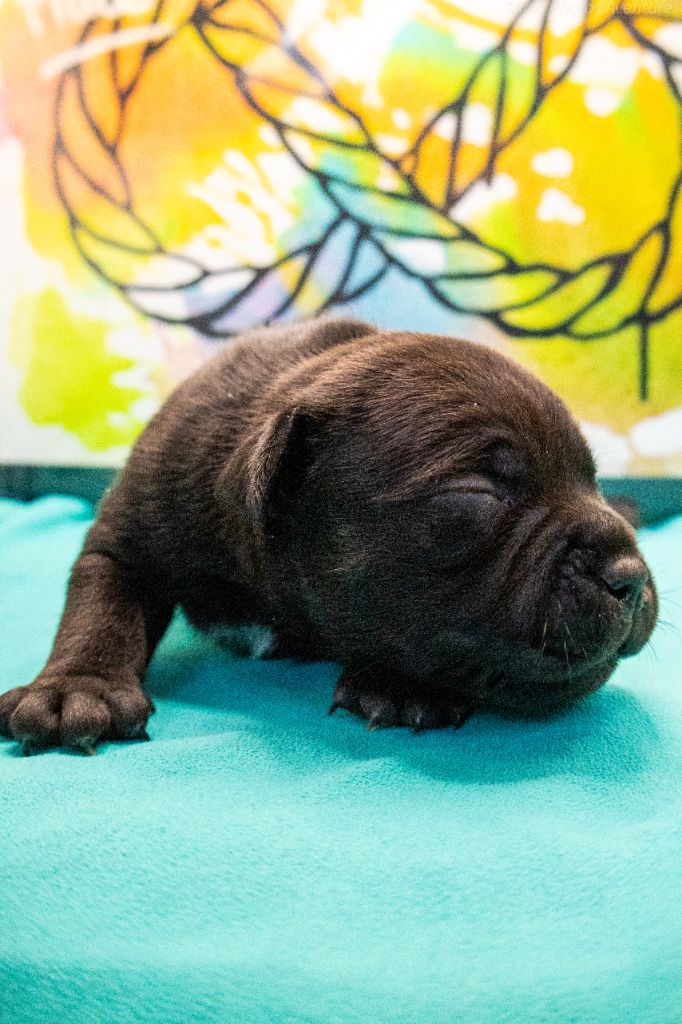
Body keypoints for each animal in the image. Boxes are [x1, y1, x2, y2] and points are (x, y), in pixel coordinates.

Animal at [0, 317, 657, 752]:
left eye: (593, 482)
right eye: (475, 494)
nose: (627, 575)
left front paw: (399, 684)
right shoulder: (131, 535)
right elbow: (102, 606)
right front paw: (76, 688)